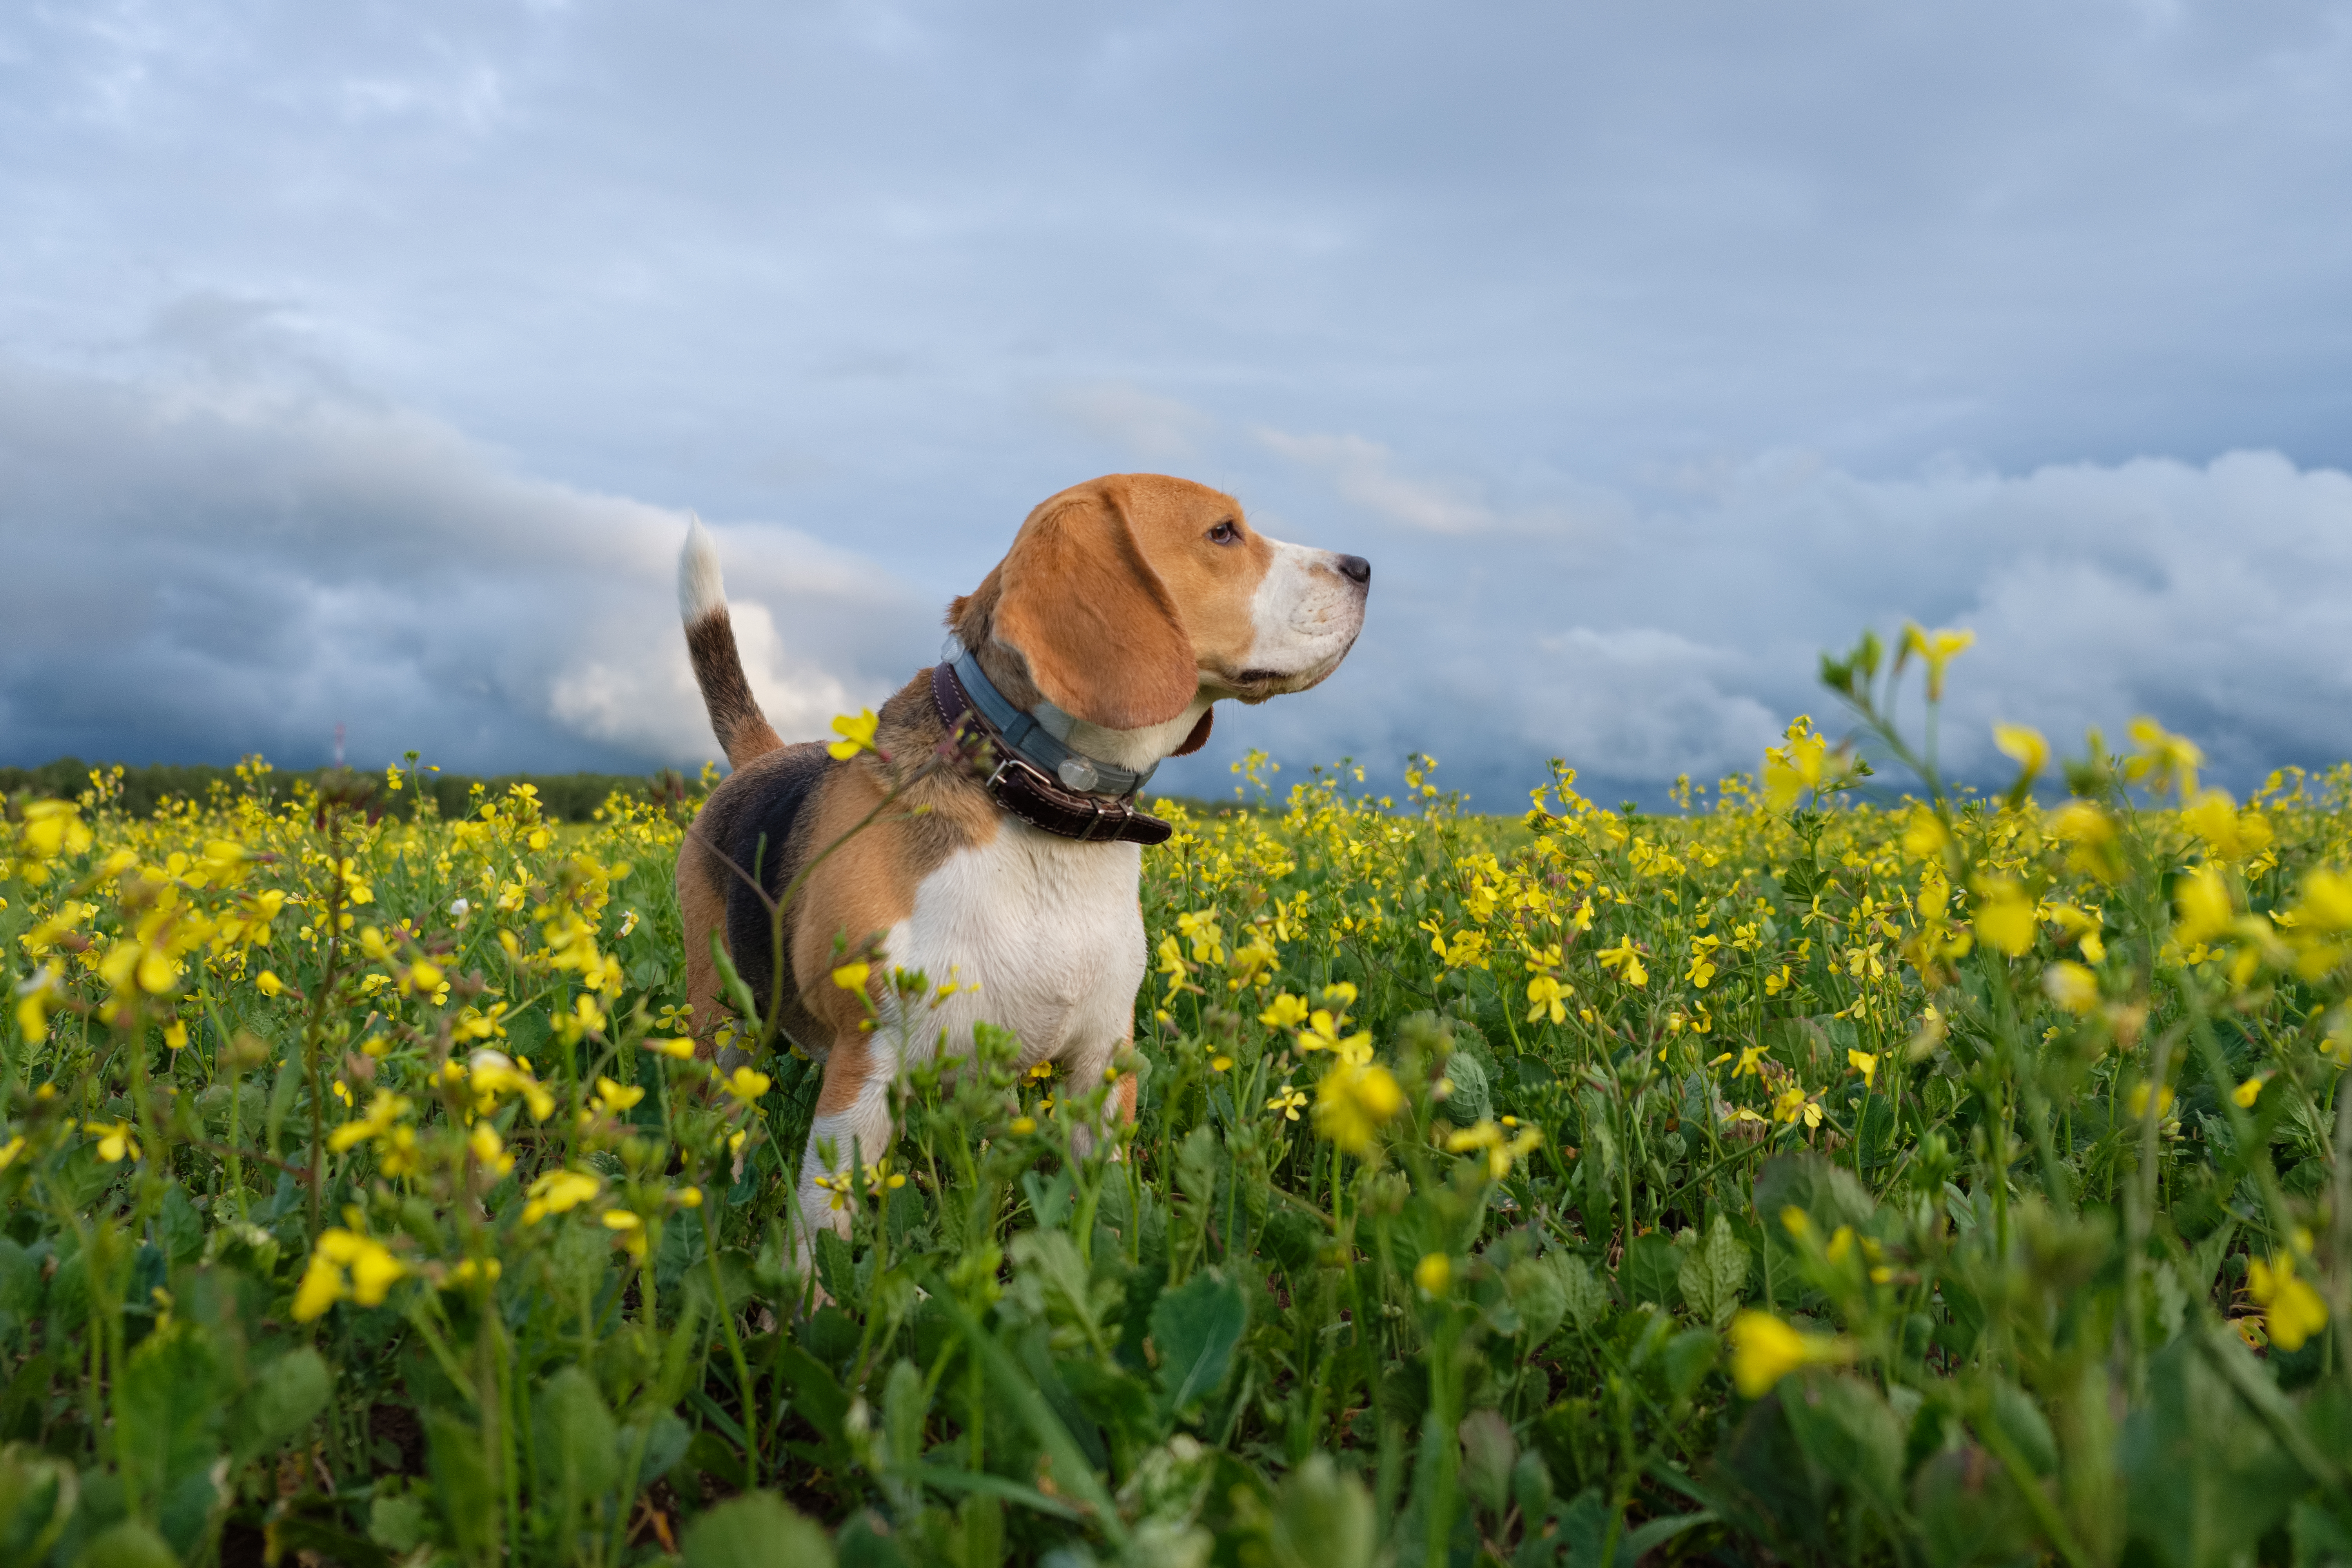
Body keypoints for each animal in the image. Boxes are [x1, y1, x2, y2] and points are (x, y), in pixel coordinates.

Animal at [673, 472, 1374, 1241]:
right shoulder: (865, 1071)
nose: (1365, 567)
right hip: (720, 1026)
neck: (1049, 814)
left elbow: (1104, 1209)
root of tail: (763, 756)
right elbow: (823, 1232)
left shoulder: (1104, 1059)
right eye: (1223, 533)